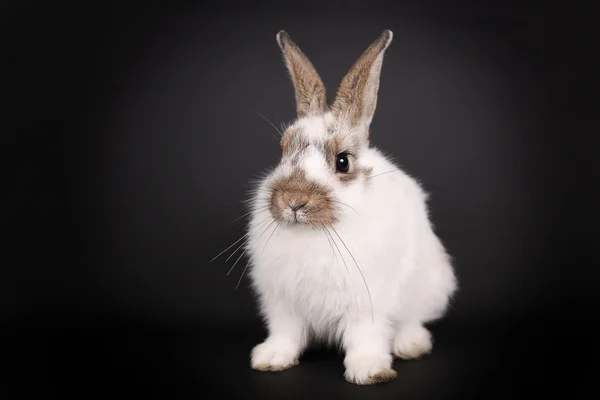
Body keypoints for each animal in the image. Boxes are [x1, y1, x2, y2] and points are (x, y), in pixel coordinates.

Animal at [244, 29, 460, 386]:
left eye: (342, 162)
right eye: (283, 152)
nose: (293, 200)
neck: (316, 232)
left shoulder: (368, 303)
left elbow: (365, 336)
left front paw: (369, 371)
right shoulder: (283, 303)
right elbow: (286, 333)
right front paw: (272, 359)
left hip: (429, 286)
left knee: (412, 320)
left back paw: (410, 345)